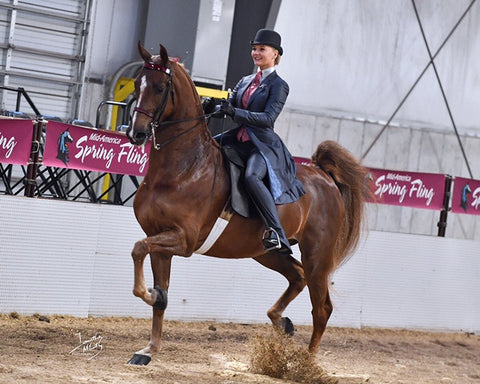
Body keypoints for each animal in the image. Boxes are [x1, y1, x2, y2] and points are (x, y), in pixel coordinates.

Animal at [124, 42, 372, 366]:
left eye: (159, 86)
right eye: (137, 83)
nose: (136, 133)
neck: (183, 168)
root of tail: (323, 175)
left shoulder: (183, 239)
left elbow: (138, 249)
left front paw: (150, 296)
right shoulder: (160, 239)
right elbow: (158, 292)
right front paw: (149, 349)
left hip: (317, 255)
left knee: (321, 308)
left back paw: (305, 363)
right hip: (265, 252)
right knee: (297, 276)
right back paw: (282, 323)